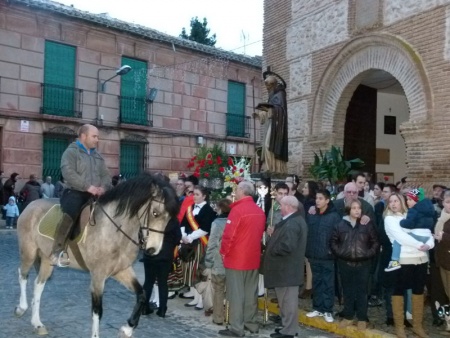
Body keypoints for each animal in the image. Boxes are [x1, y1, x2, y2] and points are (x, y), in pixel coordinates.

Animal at [14, 174, 179, 338]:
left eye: (170, 218)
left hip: (47, 260)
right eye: (155, 213)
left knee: (38, 284)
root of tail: (31, 205)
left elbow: (142, 295)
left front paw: (127, 328)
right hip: (29, 252)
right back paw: (21, 308)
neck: (113, 230)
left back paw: (37, 323)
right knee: (22, 275)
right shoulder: (98, 276)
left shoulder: (122, 270)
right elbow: (97, 311)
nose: (153, 249)